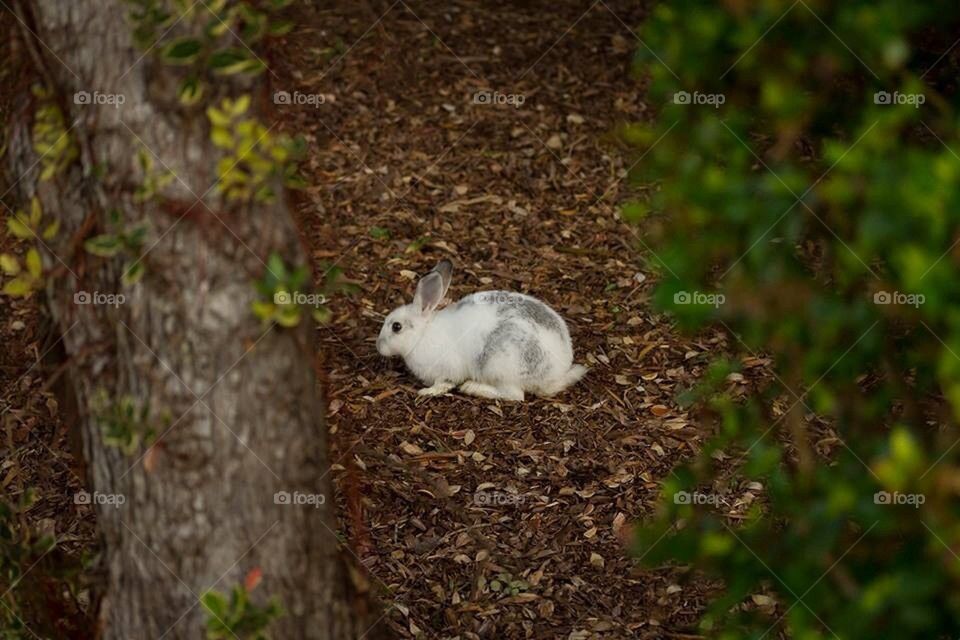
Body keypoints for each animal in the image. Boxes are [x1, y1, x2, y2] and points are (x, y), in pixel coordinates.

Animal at [376, 259, 586, 401]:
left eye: (396, 327)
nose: (378, 346)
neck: (422, 334)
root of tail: (557, 372)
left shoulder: (446, 369)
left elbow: (444, 383)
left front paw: (427, 391)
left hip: (499, 366)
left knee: (514, 395)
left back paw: (472, 388)